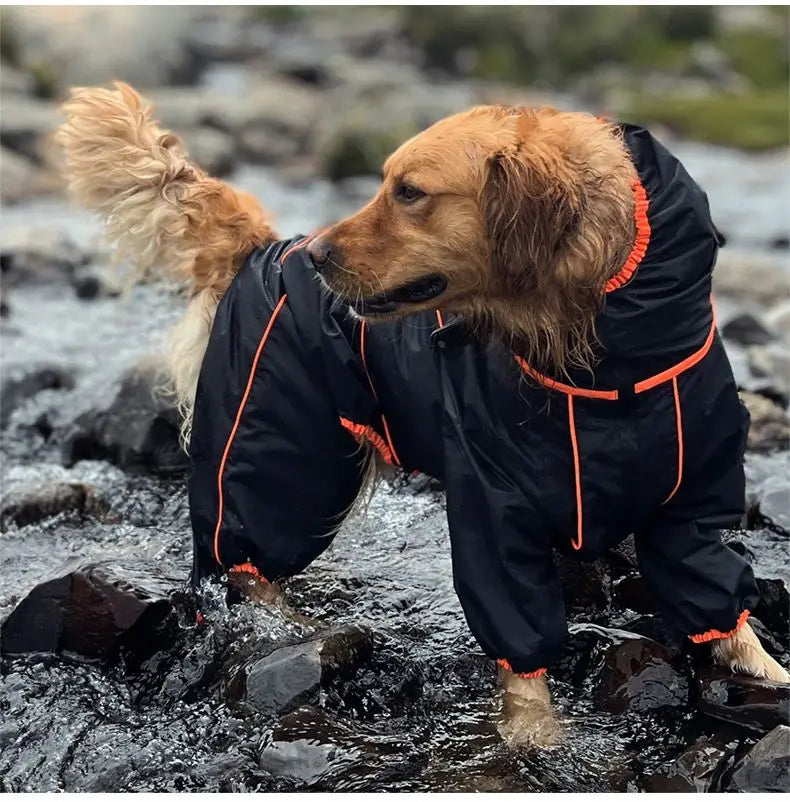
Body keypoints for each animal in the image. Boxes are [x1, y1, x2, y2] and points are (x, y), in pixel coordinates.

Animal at [57, 84, 790, 748]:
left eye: (409, 192)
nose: (317, 257)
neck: (602, 369)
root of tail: (267, 247)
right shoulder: (493, 509)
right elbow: (519, 639)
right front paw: (536, 738)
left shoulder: (693, 505)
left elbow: (713, 590)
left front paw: (765, 672)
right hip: (282, 457)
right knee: (241, 557)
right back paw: (292, 629)